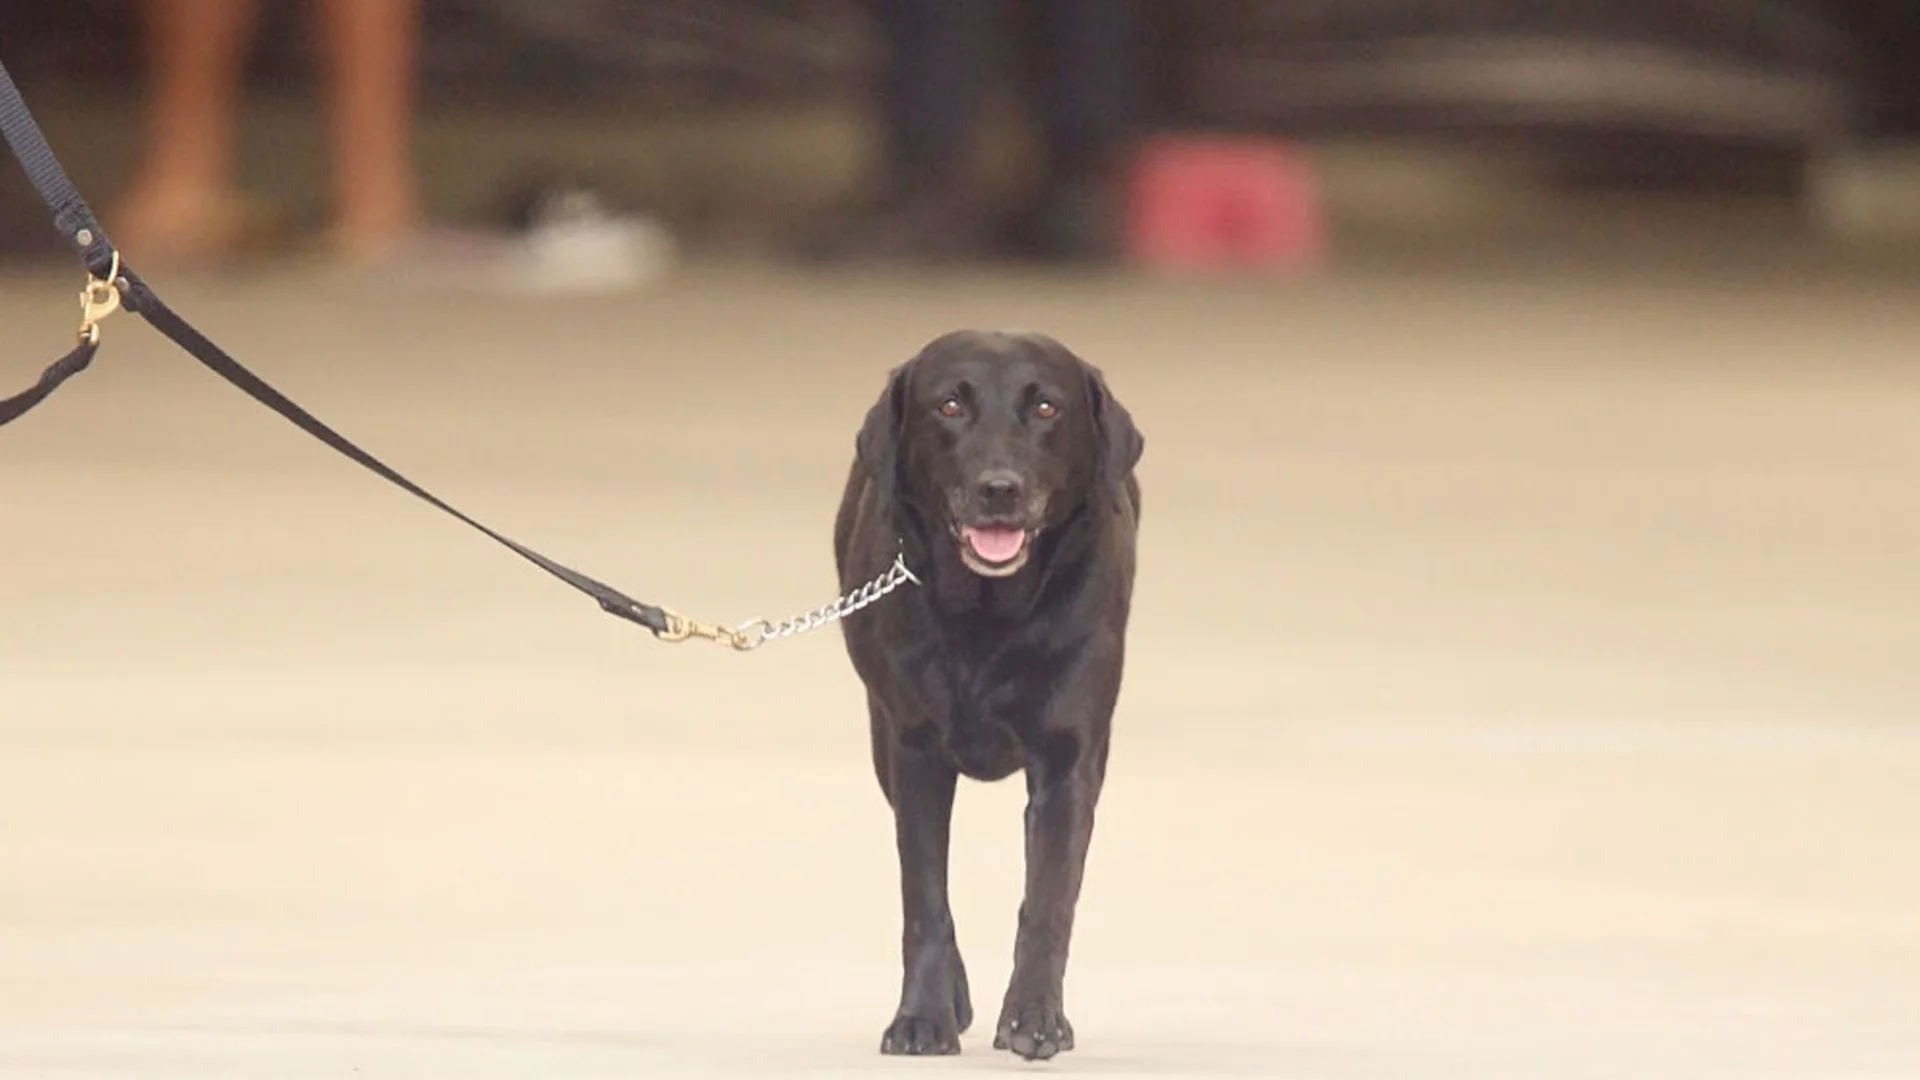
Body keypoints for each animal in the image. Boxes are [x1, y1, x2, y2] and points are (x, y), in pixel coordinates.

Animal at [829, 322, 1136, 1053]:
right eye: (949, 405)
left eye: (1047, 407)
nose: (1000, 488)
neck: (989, 614)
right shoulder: (914, 753)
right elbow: (925, 900)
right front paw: (922, 1016)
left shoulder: (1068, 762)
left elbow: (1049, 899)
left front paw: (1034, 1017)